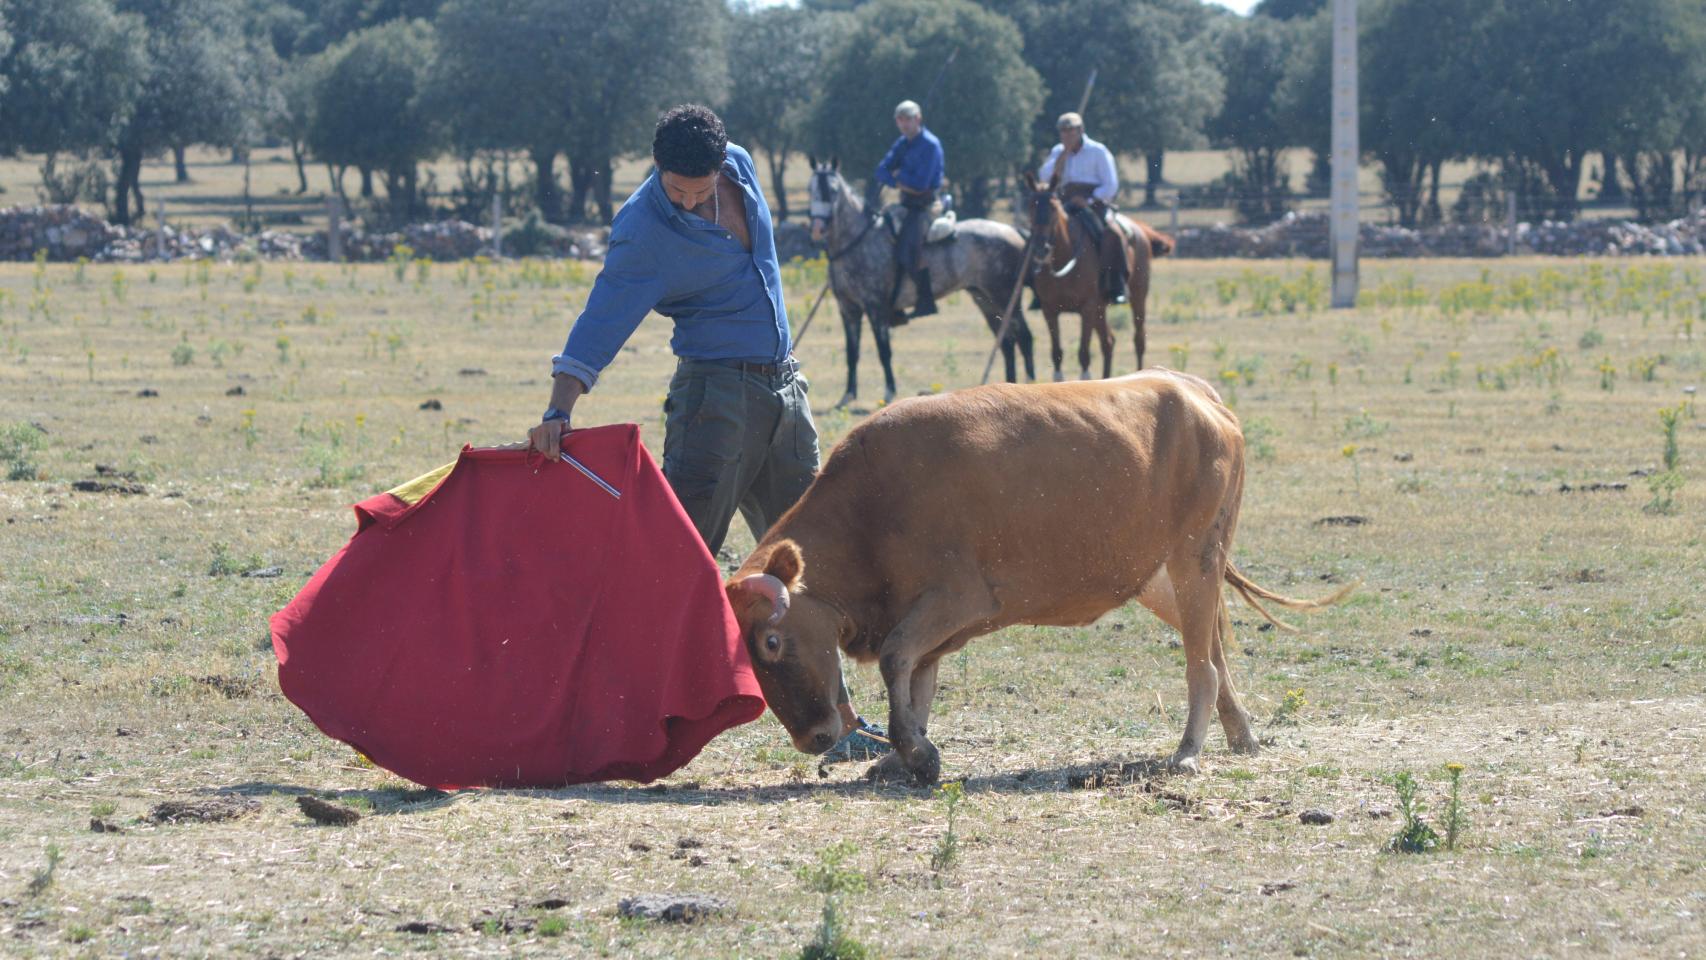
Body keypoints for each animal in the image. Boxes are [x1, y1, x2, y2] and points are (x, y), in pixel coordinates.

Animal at [726, 371, 1351, 784]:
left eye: (772, 641)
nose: (813, 739)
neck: (872, 507)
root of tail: (1194, 390)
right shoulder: (925, 615)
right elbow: (917, 678)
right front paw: (902, 753)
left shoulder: (959, 599)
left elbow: (898, 658)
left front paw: (917, 754)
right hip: (1161, 577)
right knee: (1213, 648)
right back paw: (1241, 734)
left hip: (1196, 557)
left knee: (1202, 662)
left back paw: (1188, 750)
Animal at [805, 157, 1030, 405]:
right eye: (811, 189)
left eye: (833, 191)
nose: (817, 229)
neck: (856, 242)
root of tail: (1013, 230)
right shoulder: (848, 309)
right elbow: (851, 353)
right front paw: (847, 395)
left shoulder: (876, 307)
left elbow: (884, 351)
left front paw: (889, 391)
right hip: (985, 299)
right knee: (1007, 342)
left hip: (1006, 296)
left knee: (1024, 337)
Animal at [1023, 168, 1173, 380]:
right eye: (1030, 207)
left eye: (1053, 207)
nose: (1040, 248)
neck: (1066, 258)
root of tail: (1140, 228)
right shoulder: (1049, 310)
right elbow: (1057, 354)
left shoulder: (1087, 308)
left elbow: (1084, 354)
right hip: (1100, 309)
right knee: (1108, 342)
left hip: (1137, 298)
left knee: (1138, 341)